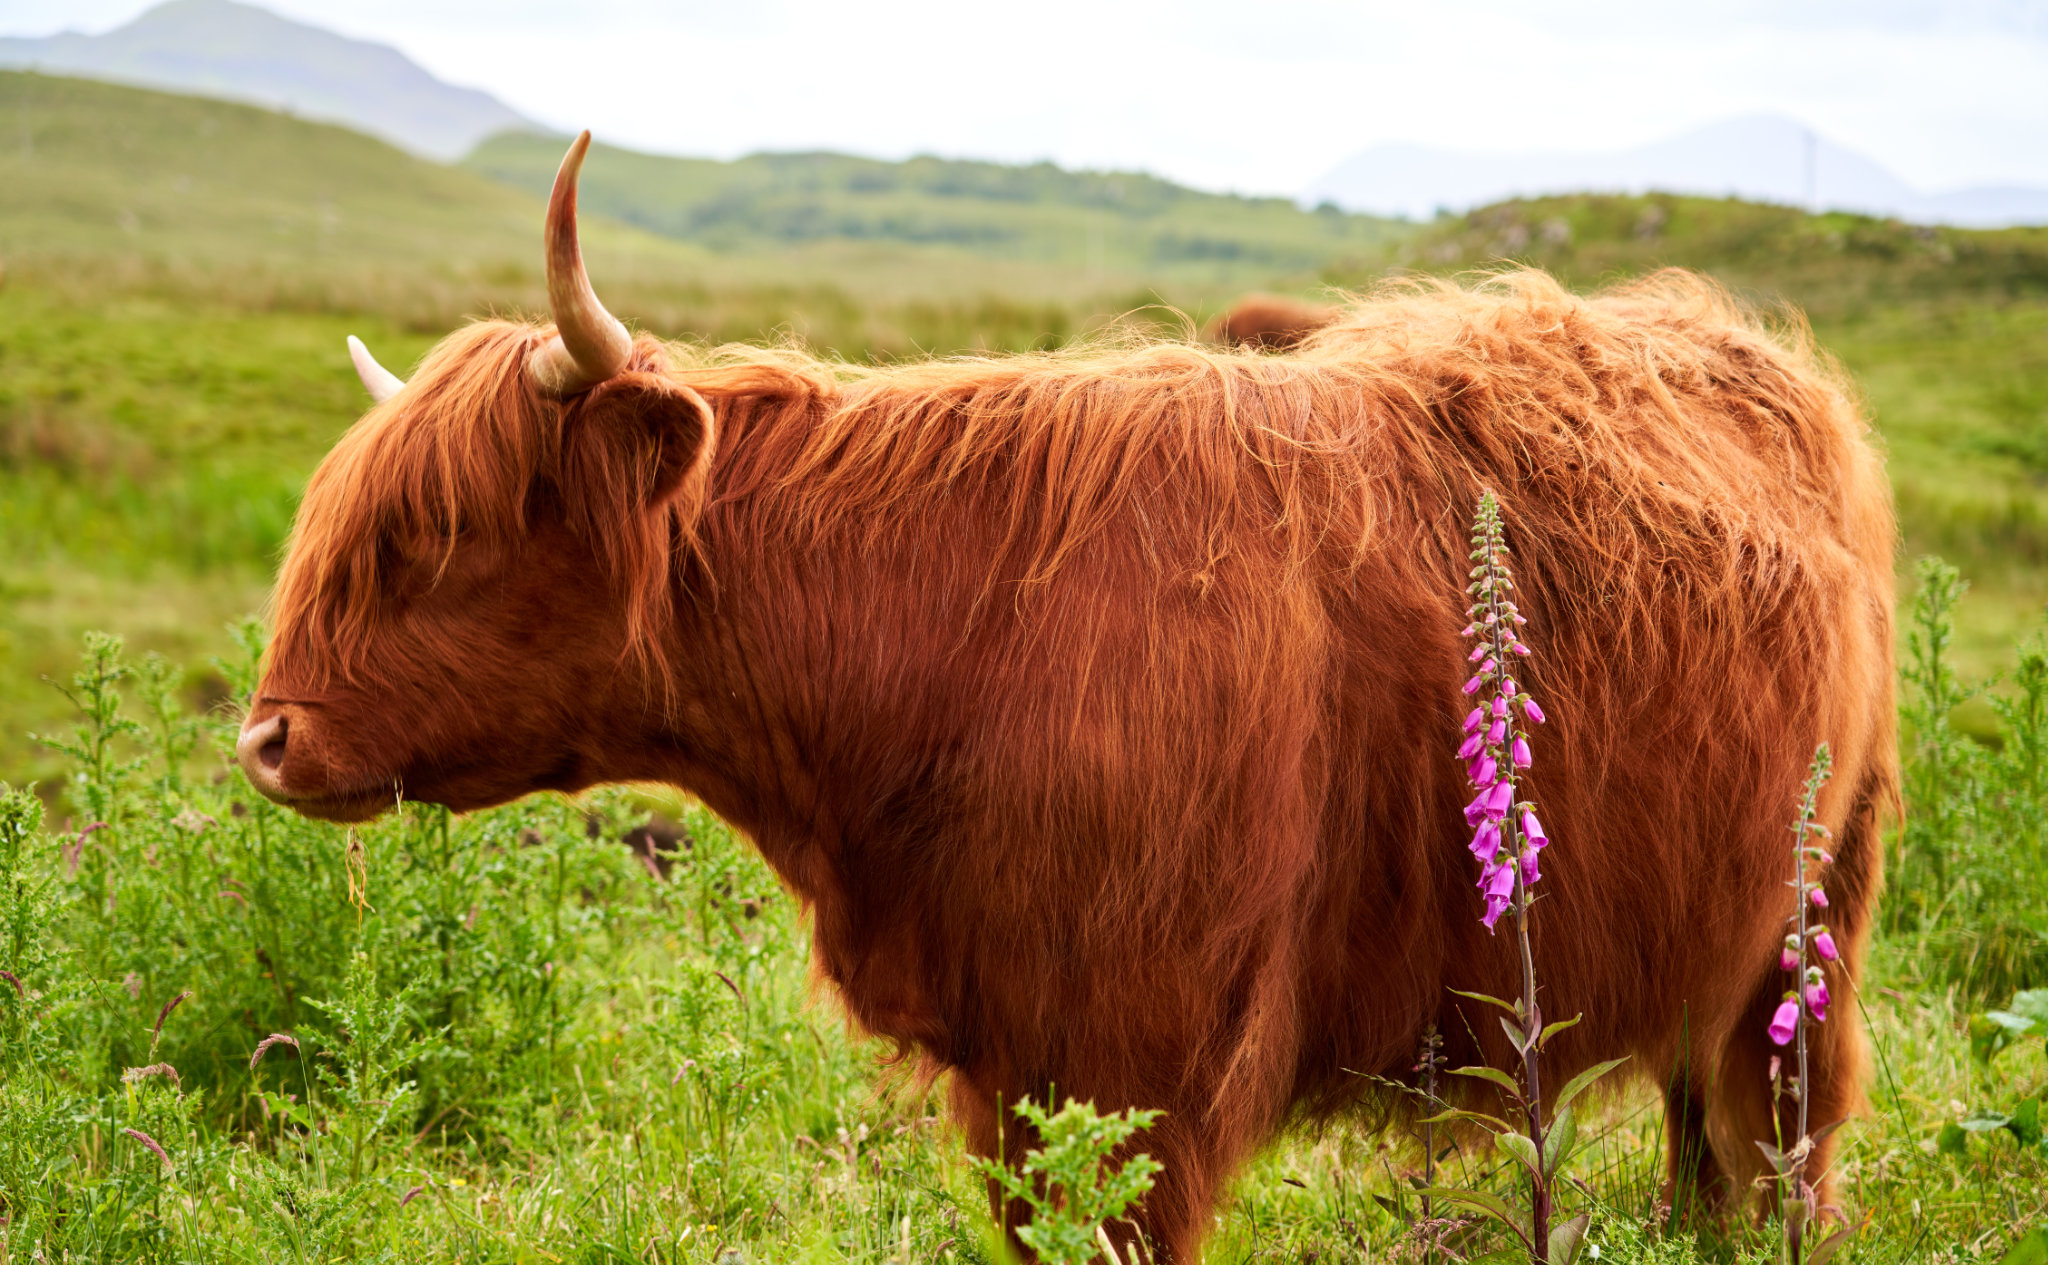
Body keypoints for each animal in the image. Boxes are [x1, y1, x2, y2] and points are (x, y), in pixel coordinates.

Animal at [236, 132, 1896, 1260]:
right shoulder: (1009, 1061)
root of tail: (1752, 350)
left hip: (1814, 916)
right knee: (1700, 1131)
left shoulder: (1142, 1057)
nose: (266, 736)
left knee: (1779, 1128)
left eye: (439, 537)